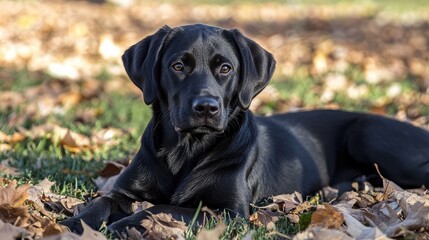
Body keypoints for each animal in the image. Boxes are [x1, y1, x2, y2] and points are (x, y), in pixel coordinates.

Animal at [60, 23, 428, 234]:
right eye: (178, 66)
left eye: (225, 68)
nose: (206, 108)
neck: (187, 149)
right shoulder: (125, 191)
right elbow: (100, 203)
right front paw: (69, 223)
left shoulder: (229, 211)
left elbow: (160, 208)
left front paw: (123, 226)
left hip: (366, 133)